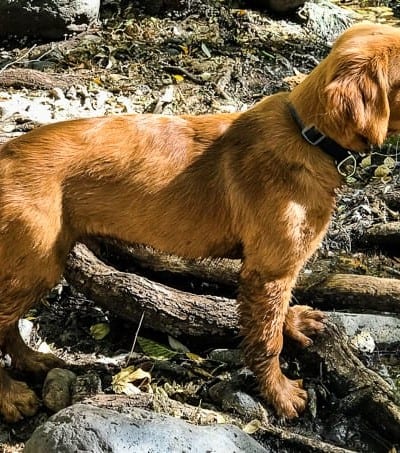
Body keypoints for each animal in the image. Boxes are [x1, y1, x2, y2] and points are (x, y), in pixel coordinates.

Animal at [0, 23, 400, 420]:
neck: (309, 137)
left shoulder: (274, 271)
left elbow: (276, 314)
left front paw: (294, 323)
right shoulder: (268, 271)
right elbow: (267, 340)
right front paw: (280, 393)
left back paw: (32, 361)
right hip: (35, 263)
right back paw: (11, 397)